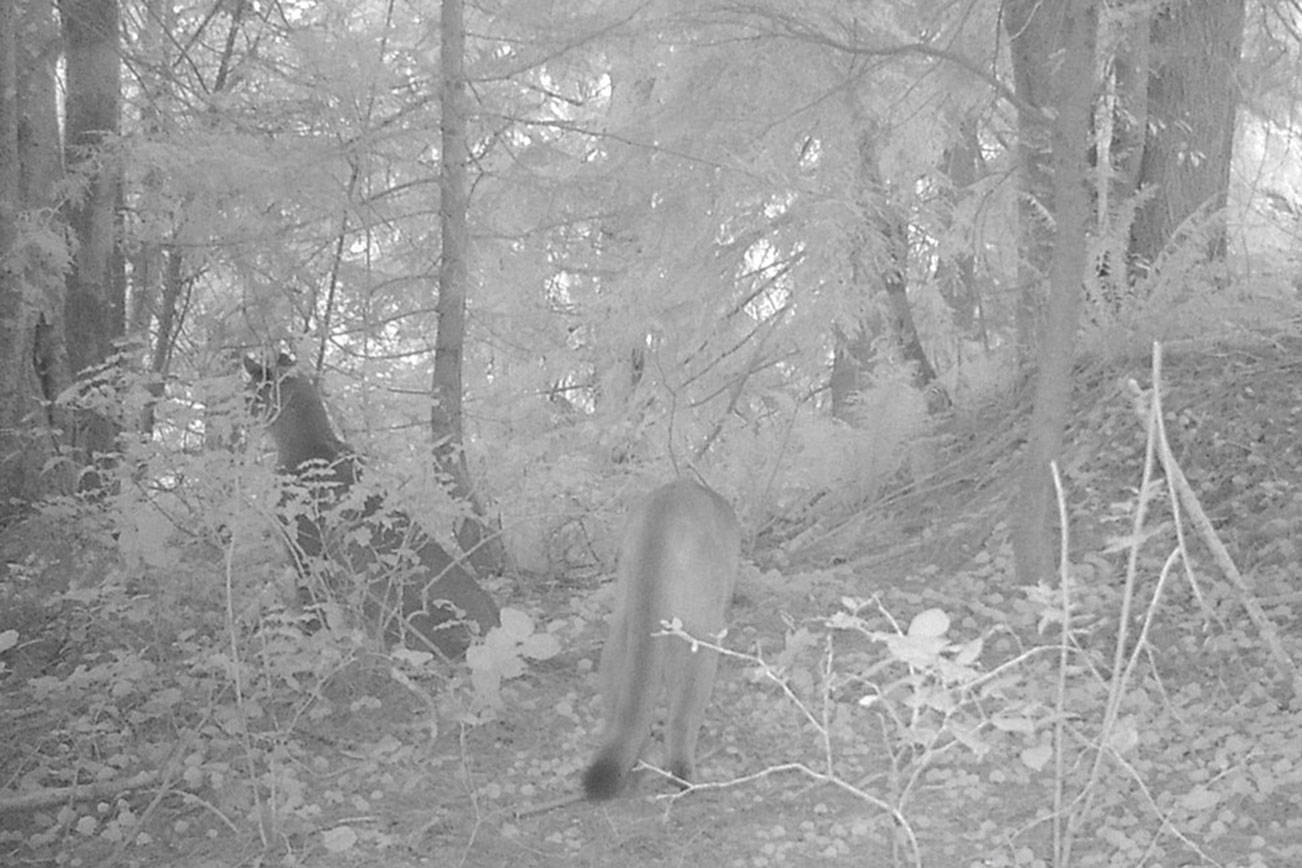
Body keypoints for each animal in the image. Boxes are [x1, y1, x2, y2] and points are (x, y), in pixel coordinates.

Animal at [583, 481, 739, 801]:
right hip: (698, 628)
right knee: (683, 714)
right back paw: (682, 774)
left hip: (623, 619)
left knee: (621, 704)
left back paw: (633, 765)